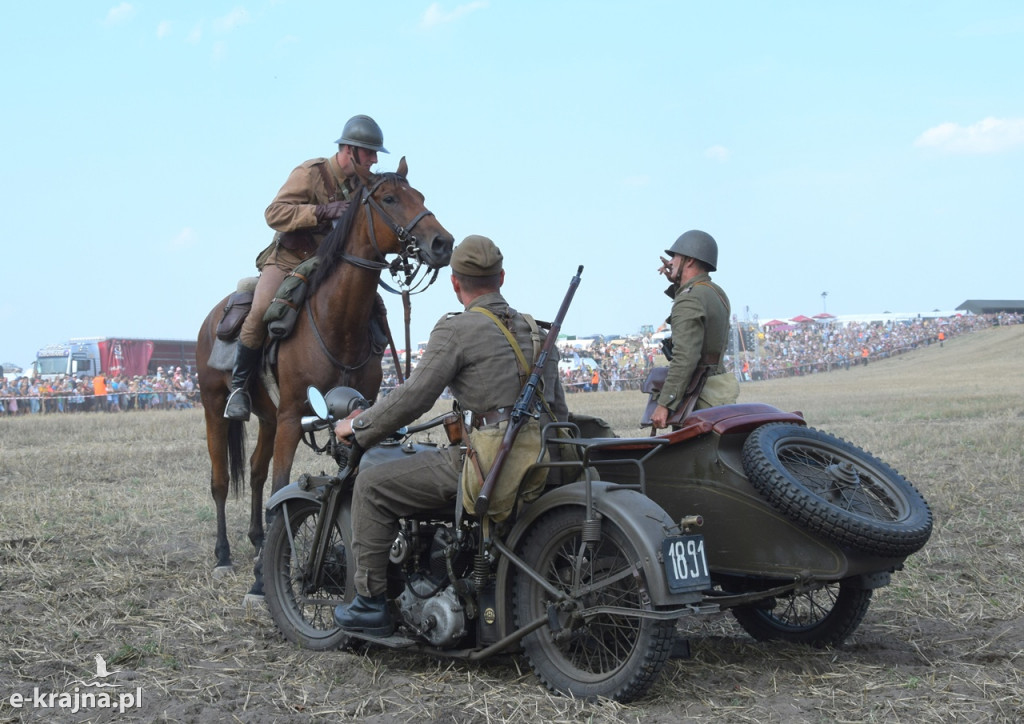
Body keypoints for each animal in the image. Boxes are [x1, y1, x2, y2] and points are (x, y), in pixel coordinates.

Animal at [195, 159, 452, 602]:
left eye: (419, 196)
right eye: (389, 198)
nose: (442, 243)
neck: (337, 322)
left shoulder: (344, 416)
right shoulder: (292, 417)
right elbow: (282, 485)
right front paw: (262, 581)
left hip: (267, 419)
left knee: (256, 474)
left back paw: (259, 541)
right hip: (215, 407)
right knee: (221, 481)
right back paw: (224, 556)